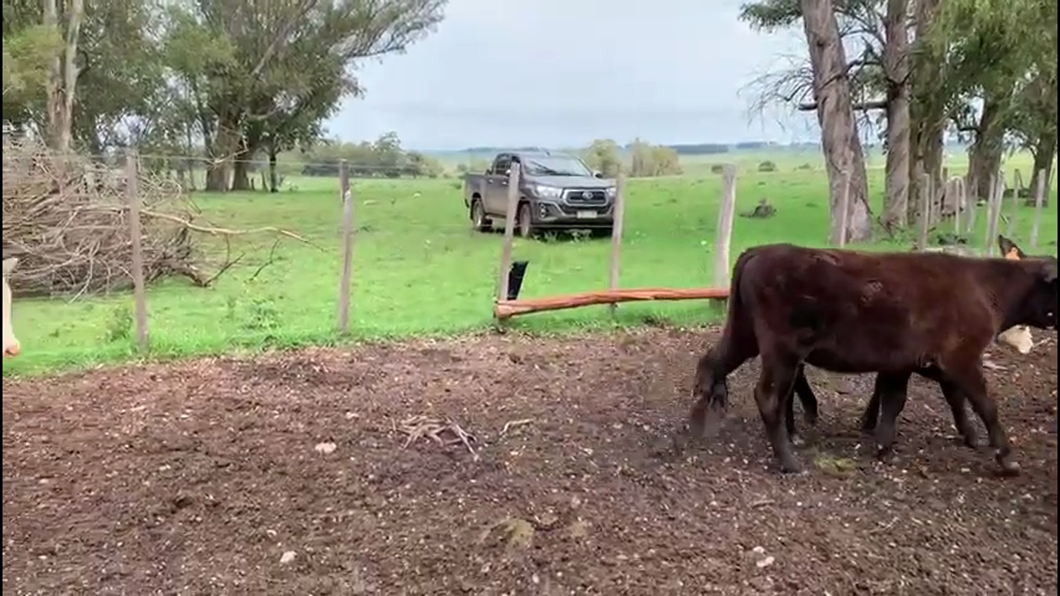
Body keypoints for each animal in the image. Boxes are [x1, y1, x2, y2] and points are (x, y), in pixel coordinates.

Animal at [691, 242, 1055, 472]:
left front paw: (883, 445)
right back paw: (789, 462)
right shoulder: (961, 358)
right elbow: (984, 404)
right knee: (767, 396)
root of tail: (761, 251)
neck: (985, 286)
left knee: (710, 365)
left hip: (744, 337)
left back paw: (695, 428)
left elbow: (894, 401)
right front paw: (1006, 457)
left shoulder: (902, 363)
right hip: (782, 350)